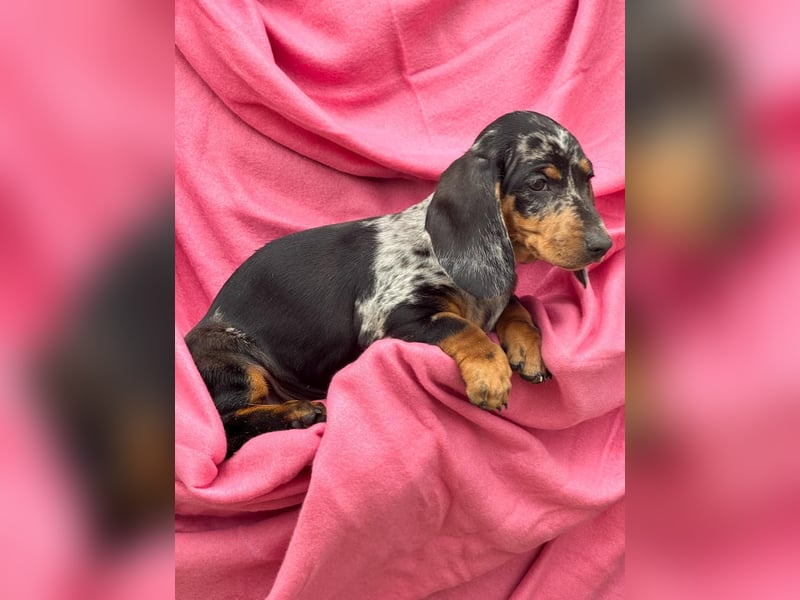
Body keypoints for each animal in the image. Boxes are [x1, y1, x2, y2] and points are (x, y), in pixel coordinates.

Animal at [185, 111, 612, 458]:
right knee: (229, 427)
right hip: (235, 361)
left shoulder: (495, 295)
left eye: (588, 178)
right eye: (539, 184)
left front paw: (527, 349)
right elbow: (464, 327)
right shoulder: (395, 318)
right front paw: (491, 373)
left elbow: (516, 306)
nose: (603, 245)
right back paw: (297, 413)